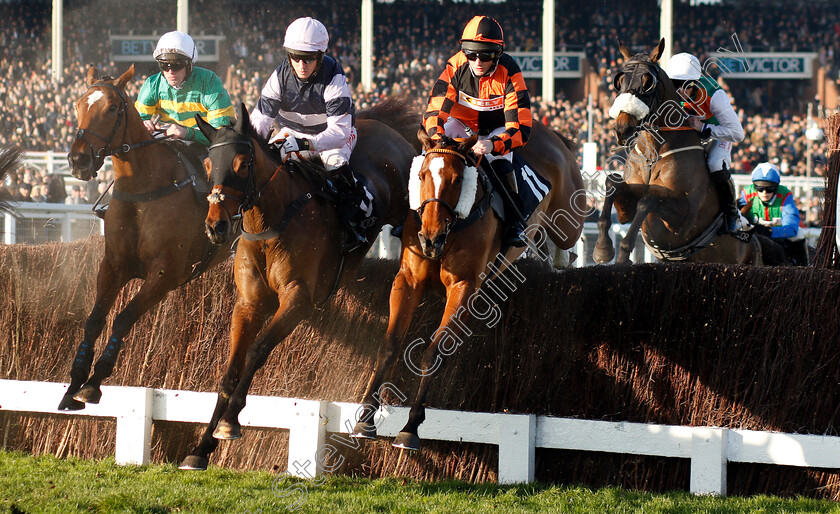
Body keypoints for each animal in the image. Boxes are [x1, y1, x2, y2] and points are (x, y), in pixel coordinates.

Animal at [58, 65, 230, 408]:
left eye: (112, 108)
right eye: (78, 105)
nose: (78, 161)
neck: (145, 191)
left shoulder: (164, 275)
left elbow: (124, 318)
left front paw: (94, 382)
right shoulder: (113, 265)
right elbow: (95, 319)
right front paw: (74, 382)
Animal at [184, 100, 420, 468]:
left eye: (243, 163)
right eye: (209, 164)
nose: (215, 226)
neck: (271, 224)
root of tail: (389, 129)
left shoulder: (298, 299)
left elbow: (257, 350)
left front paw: (230, 422)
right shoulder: (249, 303)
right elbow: (231, 369)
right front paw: (202, 447)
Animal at [350, 121, 584, 448]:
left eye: (458, 178)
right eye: (422, 175)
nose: (430, 238)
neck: (451, 228)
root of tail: (550, 133)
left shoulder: (462, 287)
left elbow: (434, 352)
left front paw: (411, 427)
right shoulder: (408, 280)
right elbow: (389, 345)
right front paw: (365, 419)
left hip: (568, 211)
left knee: (568, 236)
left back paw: (565, 256)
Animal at [592, 39, 760, 264]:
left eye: (648, 81)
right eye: (620, 80)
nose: (622, 128)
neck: (653, 155)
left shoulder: (683, 220)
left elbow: (648, 200)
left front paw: (623, 256)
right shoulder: (626, 208)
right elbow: (612, 183)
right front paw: (602, 249)